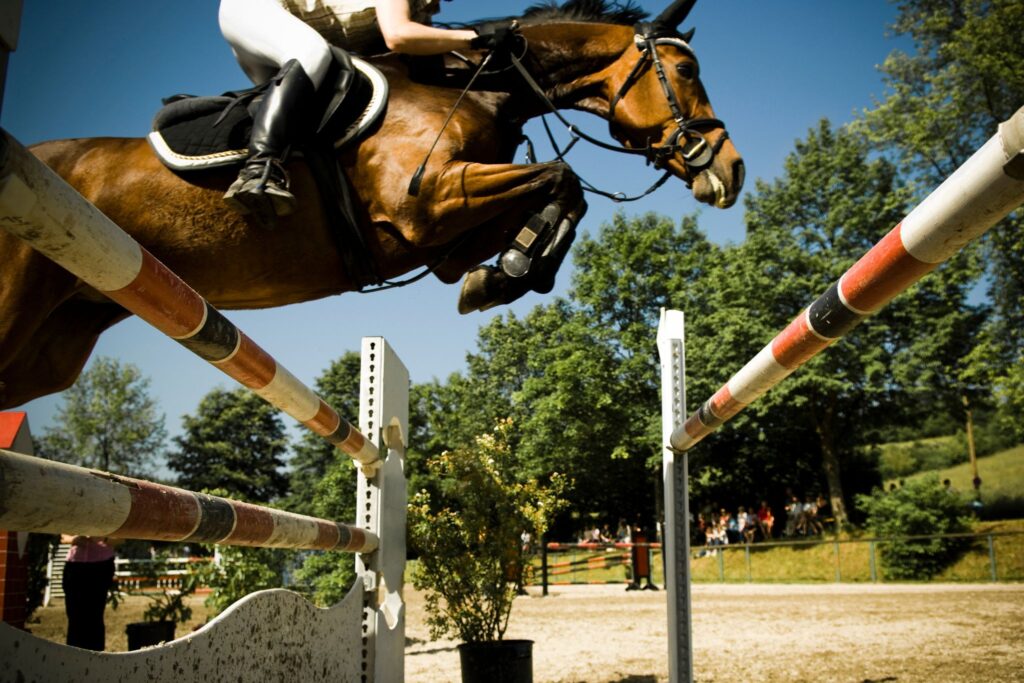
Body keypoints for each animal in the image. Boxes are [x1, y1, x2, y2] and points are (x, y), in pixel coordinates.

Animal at [0, 0, 741, 409]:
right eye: (684, 72)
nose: (730, 171)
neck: (479, 87)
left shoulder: (443, 236)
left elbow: (560, 197)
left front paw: (504, 275)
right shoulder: (428, 201)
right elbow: (564, 179)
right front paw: (509, 273)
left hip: (57, 343)